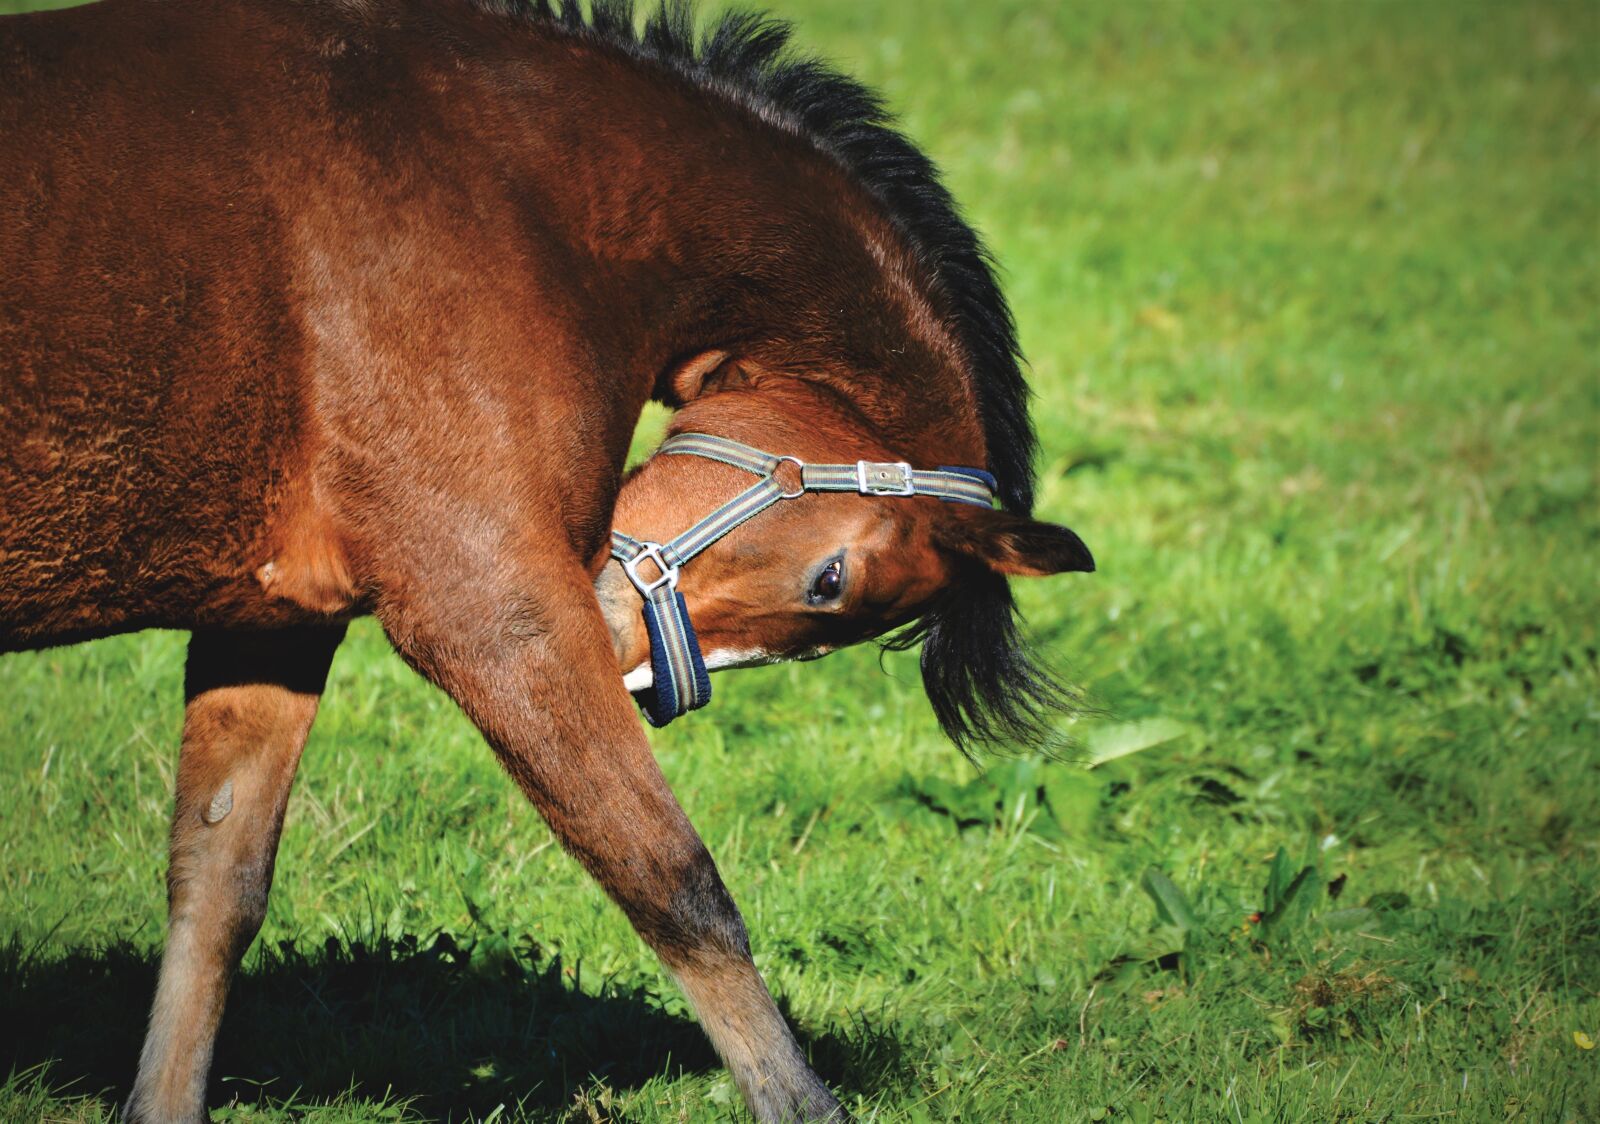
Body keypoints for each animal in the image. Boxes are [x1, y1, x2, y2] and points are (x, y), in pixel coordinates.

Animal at [0, 1, 1094, 1120]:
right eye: (828, 582)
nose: (631, 664)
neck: (513, 195)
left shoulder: (271, 621)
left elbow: (216, 885)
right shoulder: (497, 614)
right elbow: (674, 883)